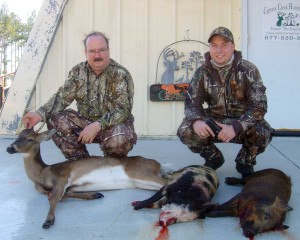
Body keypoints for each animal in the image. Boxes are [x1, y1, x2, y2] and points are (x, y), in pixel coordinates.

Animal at [6, 129, 166, 229]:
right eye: (18, 135)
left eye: (30, 139)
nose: (10, 148)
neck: (42, 173)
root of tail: (157, 164)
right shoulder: (60, 187)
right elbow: (64, 195)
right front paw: (95, 194)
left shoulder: (62, 178)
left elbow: (54, 199)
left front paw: (48, 221)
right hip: (139, 182)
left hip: (140, 173)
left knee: (167, 183)